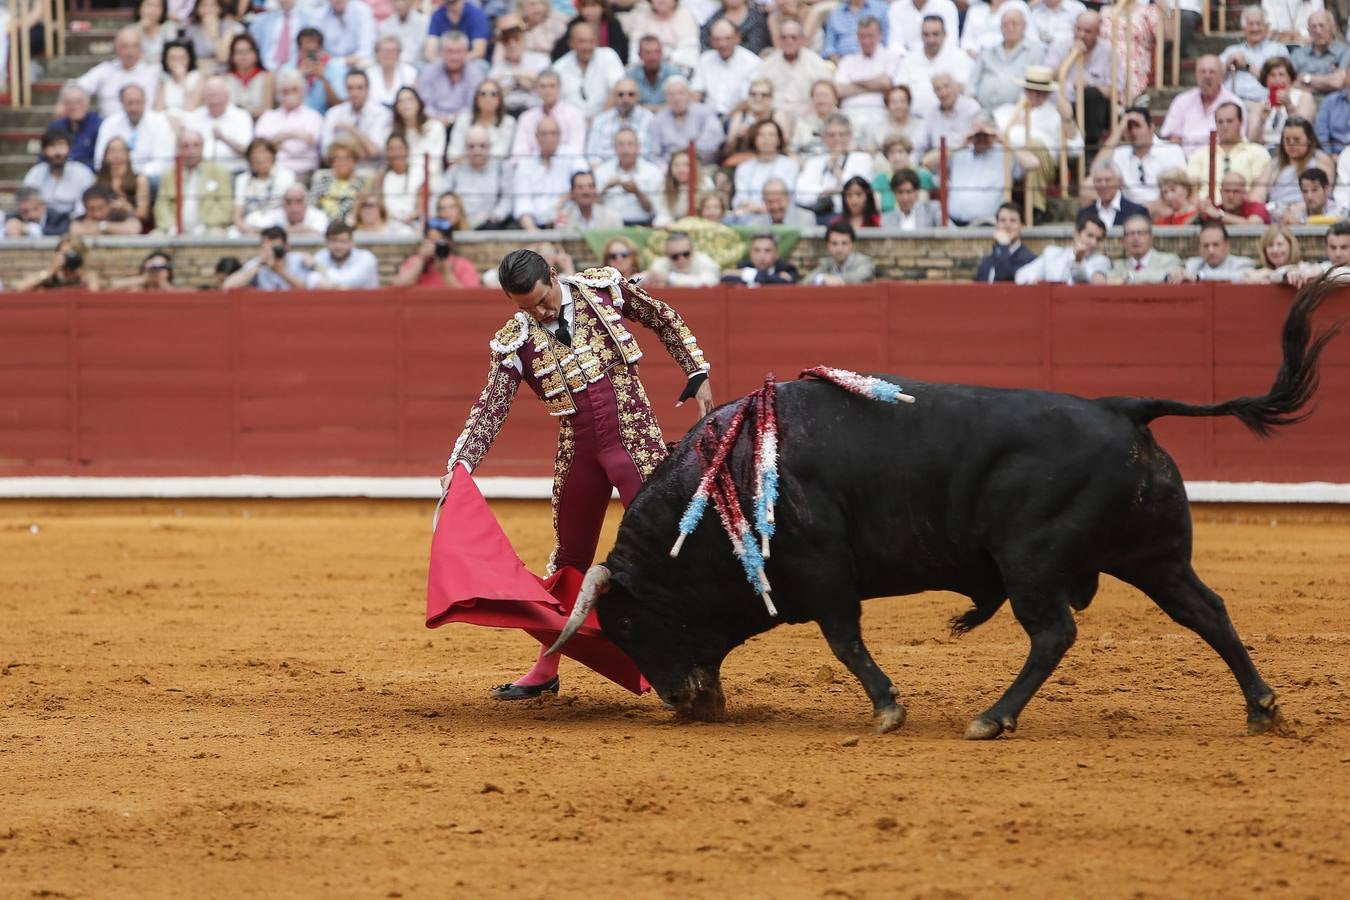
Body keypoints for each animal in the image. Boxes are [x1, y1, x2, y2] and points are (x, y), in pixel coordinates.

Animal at [545, 283, 1339, 739]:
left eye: (626, 624)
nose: (684, 704)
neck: (727, 483)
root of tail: (1122, 408)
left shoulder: (825, 570)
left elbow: (845, 641)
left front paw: (888, 709)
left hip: (1033, 559)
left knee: (1054, 632)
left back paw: (992, 717)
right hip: (1154, 555)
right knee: (1206, 611)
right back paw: (1262, 708)